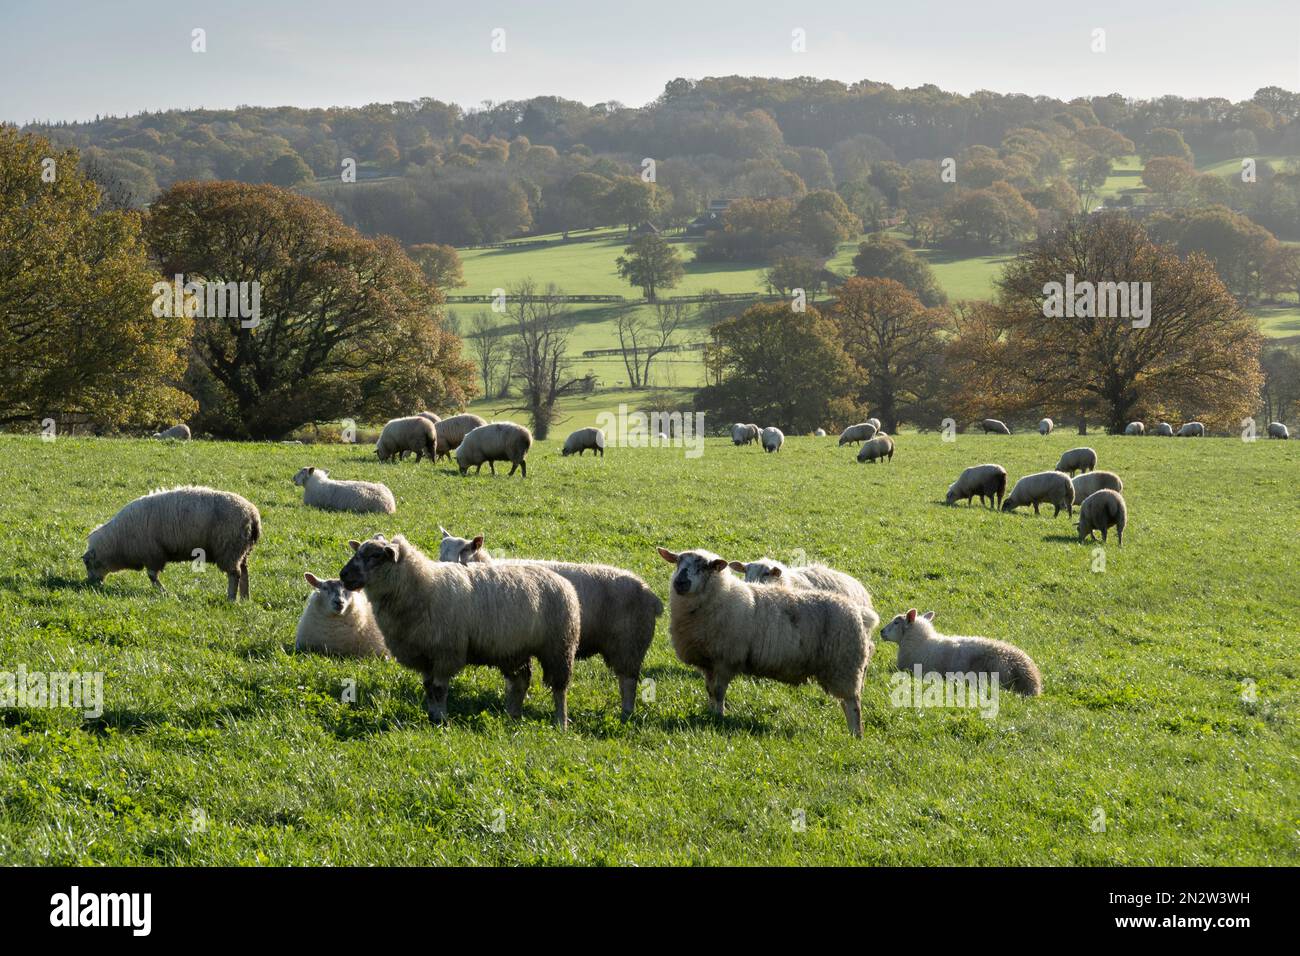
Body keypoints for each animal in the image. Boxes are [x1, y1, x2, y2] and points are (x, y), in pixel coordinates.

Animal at [82, 486, 260, 598]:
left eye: (88, 564)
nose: (91, 584)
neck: (118, 541)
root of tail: (253, 515)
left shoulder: (153, 554)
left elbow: (152, 576)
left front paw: (164, 592)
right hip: (242, 550)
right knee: (244, 572)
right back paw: (245, 598)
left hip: (229, 549)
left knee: (235, 574)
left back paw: (231, 598)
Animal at [340, 535, 579, 728]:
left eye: (375, 556)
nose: (343, 575)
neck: (422, 587)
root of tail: (562, 581)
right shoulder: (425, 655)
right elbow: (428, 687)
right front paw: (432, 716)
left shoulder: (446, 652)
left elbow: (438, 689)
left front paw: (441, 721)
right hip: (513, 649)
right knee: (520, 681)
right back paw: (513, 716)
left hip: (559, 647)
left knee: (560, 688)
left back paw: (561, 722)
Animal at [655, 546, 878, 738]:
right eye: (677, 563)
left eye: (703, 566)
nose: (680, 582)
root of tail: (859, 611)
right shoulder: (709, 662)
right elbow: (709, 690)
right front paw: (710, 713)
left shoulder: (726, 659)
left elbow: (718, 692)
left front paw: (719, 717)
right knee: (845, 702)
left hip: (845, 666)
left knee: (853, 704)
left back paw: (856, 735)